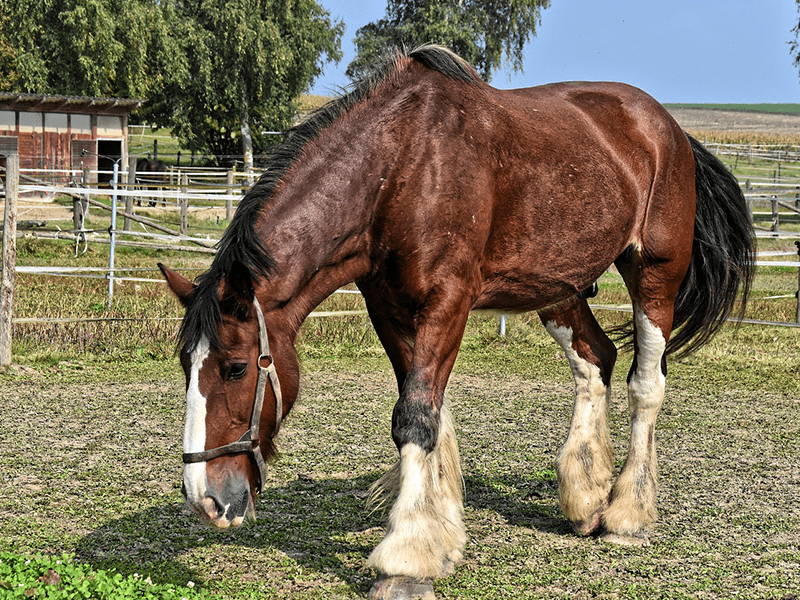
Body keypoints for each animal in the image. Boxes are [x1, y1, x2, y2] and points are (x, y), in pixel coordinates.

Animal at [159, 45, 754, 599]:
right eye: (185, 365)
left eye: (236, 368)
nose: (203, 498)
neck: (399, 168)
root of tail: (670, 129)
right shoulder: (390, 309)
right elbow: (429, 412)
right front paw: (439, 534)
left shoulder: (448, 302)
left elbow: (415, 417)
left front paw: (405, 559)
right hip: (556, 287)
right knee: (595, 361)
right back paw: (586, 496)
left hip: (655, 274)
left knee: (645, 385)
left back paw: (628, 512)